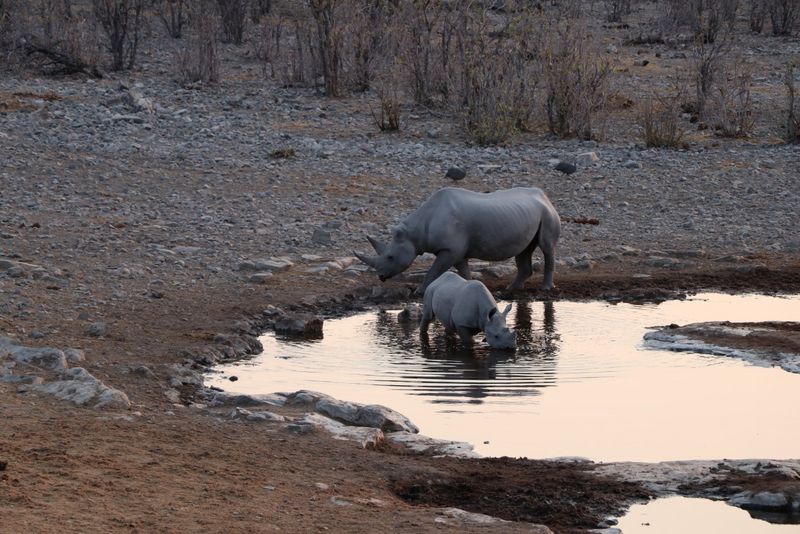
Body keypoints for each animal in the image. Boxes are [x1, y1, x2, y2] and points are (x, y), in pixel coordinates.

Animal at [355, 186, 560, 295]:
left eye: (390, 257)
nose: (381, 276)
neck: (415, 233)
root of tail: (545, 196)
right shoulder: (457, 251)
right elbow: (464, 270)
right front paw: (470, 288)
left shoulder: (449, 250)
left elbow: (434, 270)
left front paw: (419, 292)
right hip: (528, 214)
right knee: (524, 250)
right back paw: (511, 289)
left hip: (547, 213)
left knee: (546, 247)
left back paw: (545, 289)